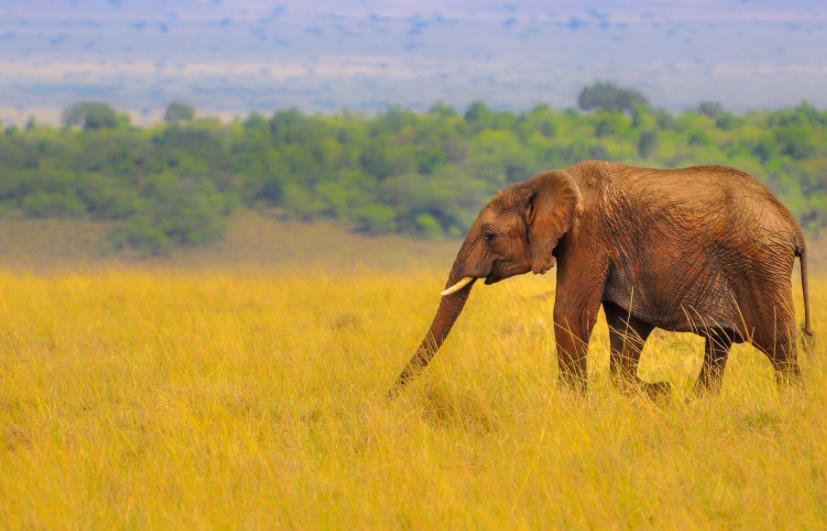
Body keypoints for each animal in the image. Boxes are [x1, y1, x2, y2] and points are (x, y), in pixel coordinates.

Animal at [392, 162, 820, 400]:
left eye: (489, 236)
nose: (389, 397)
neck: (545, 183)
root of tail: (793, 226)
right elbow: (626, 326)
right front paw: (652, 391)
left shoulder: (589, 236)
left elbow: (570, 314)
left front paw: (573, 404)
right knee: (719, 344)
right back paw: (699, 402)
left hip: (760, 266)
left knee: (780, 347)